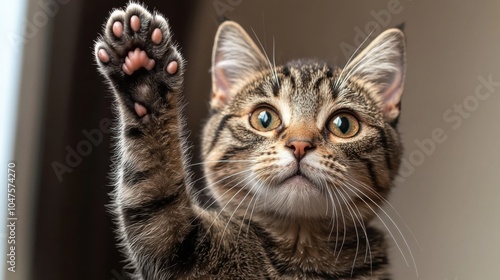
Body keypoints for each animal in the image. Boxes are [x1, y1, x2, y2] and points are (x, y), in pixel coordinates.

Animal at [94, 2, 406, 280]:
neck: (299, 244)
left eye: (343, 124)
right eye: (264, 119)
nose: (300, 145)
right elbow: (154, 195)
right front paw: (144, 77)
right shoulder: (172, 244)